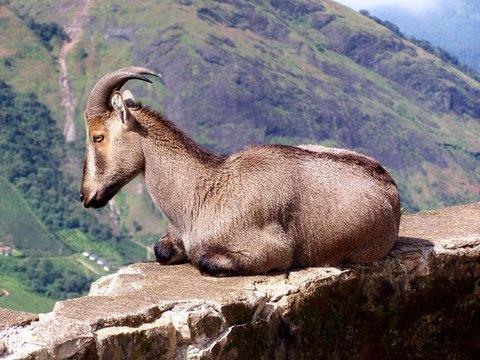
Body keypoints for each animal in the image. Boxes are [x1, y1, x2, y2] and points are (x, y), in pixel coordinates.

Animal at [80, 67, 400, 276]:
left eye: (98, 137)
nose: (85, 195)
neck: (200, 193)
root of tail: (390, 184)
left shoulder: (273, 250)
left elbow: (205, 261)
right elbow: (162, 250)